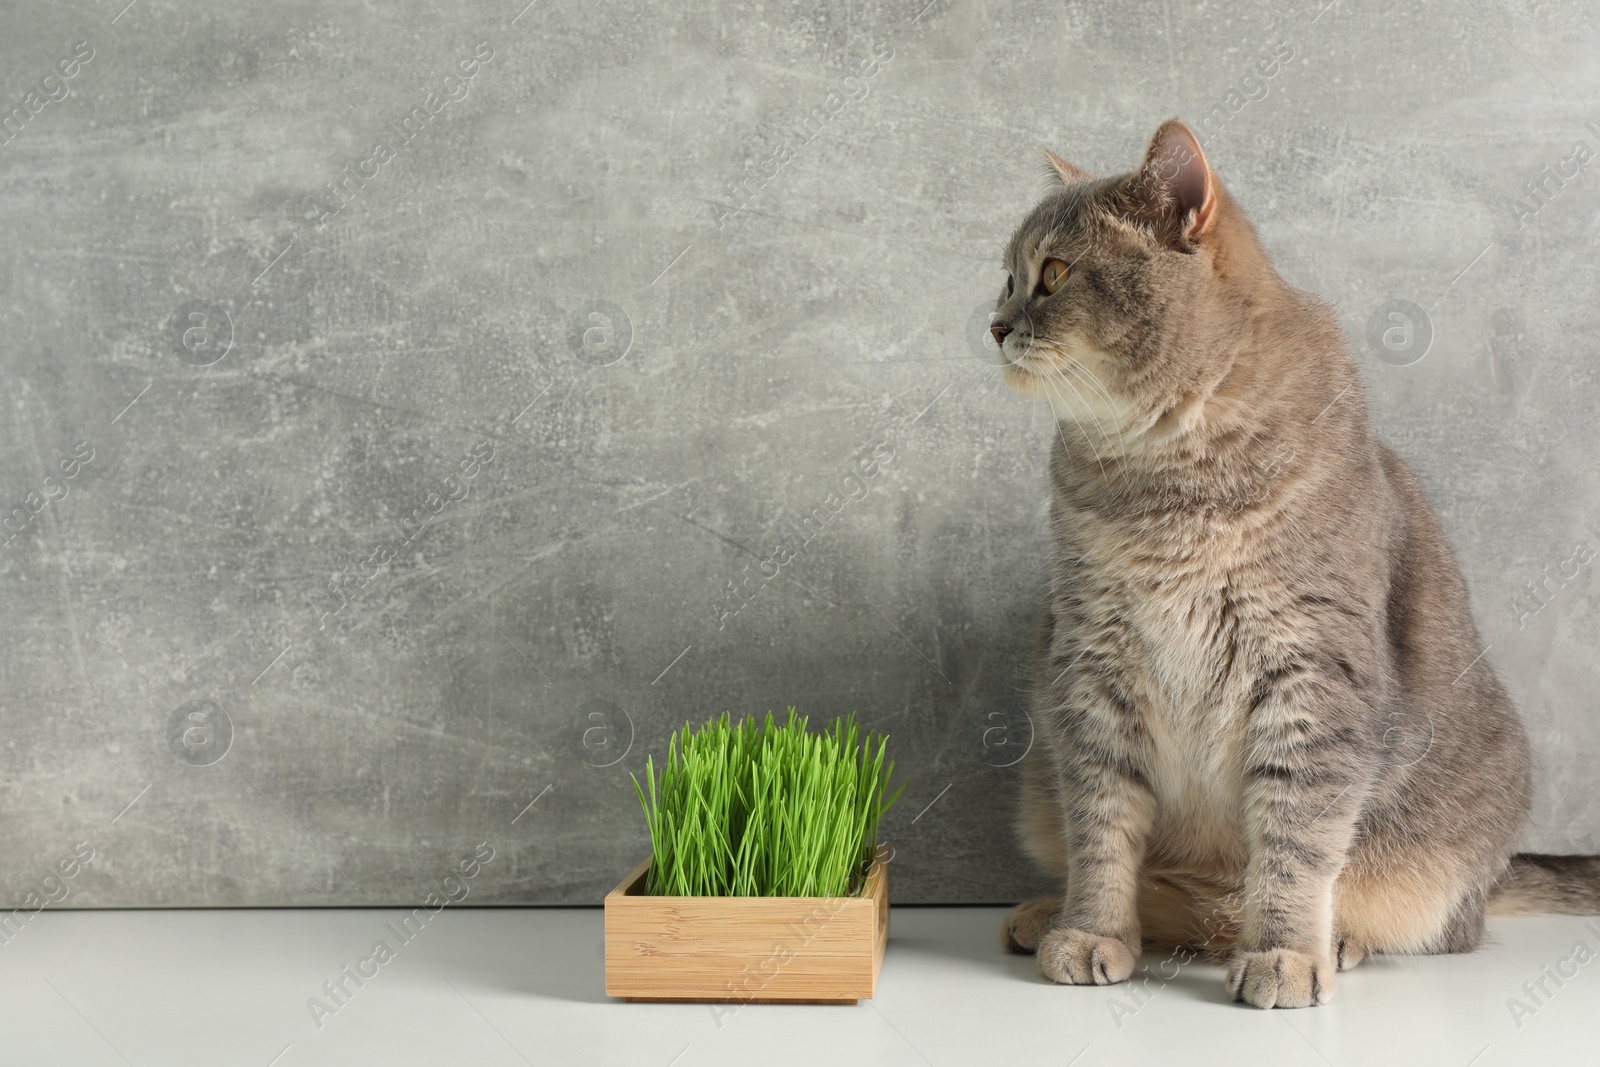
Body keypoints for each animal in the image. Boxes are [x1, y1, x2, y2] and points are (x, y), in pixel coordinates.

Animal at [985, 119, 1600, 1011]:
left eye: (1055, 273)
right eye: (1006, 277)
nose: (993, 325)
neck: (1166, 479)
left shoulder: (1310, 674)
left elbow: (1295, 839)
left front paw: (1283, 951)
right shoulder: (1091, 667)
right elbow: (1101, 828)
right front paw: (1093, 929)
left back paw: (1334, 939)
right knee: (1173, 898)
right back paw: (1048, 912)